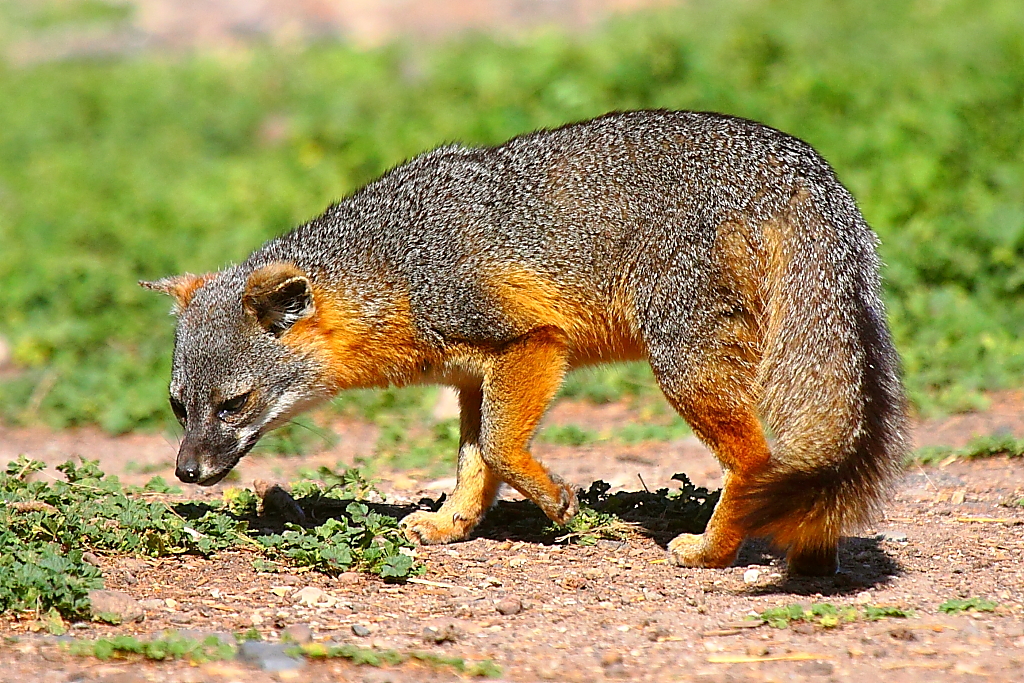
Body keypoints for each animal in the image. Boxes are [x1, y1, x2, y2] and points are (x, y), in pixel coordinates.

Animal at [142, 110, 908, 575]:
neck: (394, 265)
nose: (186, 471)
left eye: (234, 404)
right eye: (180, 407)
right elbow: (476, 462)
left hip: (682, 365)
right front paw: (450, 524)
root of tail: (799, 160)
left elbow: (504, 449)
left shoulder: (532, 342)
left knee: (756, 458)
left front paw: (556, 501)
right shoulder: (472, 377)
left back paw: (711, 550)